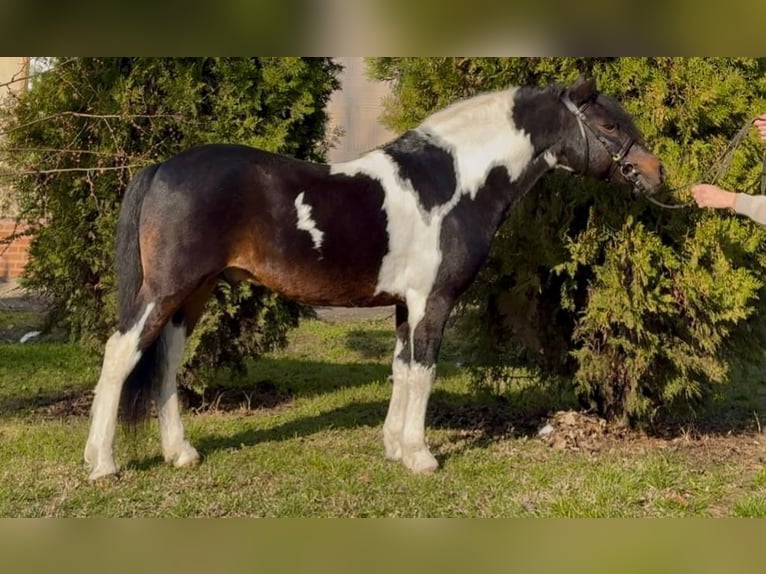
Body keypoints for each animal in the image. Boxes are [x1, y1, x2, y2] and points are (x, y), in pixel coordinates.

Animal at [84, 76, 665, 480]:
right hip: (166, 290)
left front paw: (393, 447)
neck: (454, 183)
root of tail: (161, 168)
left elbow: (401, 370)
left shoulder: (405, 303)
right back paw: (102, 464)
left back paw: (180, 453)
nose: (656, 174)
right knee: (120, 354)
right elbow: (424, 372)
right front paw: (421, 456)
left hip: (194, 293)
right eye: (609, 126)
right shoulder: (434, 301)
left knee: (165, 361)